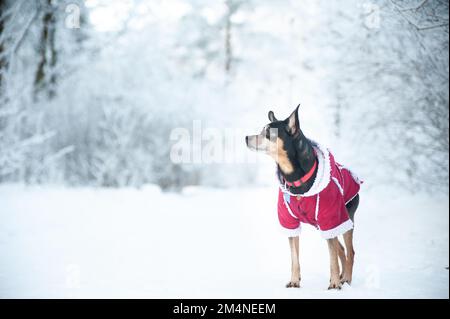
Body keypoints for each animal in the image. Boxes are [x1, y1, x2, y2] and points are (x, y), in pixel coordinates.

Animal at [244, 105, 360, 290]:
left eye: (269, 132)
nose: (246, 138)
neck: (295, 179)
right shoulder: (290, 221)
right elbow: (294, 257)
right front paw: (294, 280)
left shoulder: (330, 217)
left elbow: (332, 258)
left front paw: (334, 284)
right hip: (325, 225)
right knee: (340, 249)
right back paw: (342, 277)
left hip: (344, 218)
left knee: (349, 251)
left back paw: (346, 279)